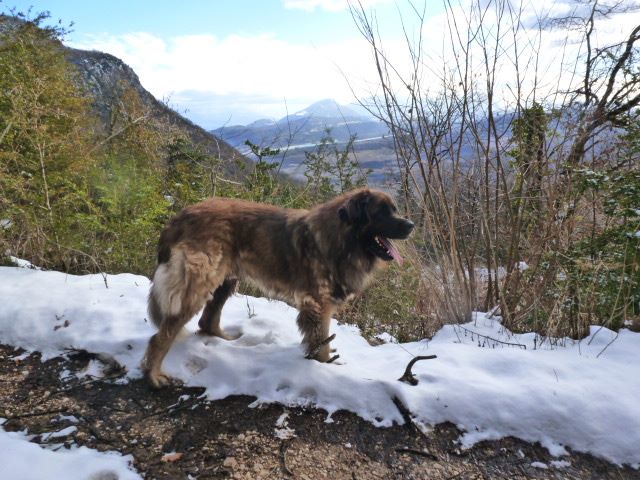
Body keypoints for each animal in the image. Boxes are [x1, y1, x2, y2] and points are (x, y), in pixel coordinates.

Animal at [143, 188, 416, 386]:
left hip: (225, 280)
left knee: (207, 320)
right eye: (381, 212)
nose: (411, 225)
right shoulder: (319, 304)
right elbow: (321, 341)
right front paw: (324, 366)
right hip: (197, 284)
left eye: (394, 209)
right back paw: (154, 376)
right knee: (162, 335)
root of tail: (181, 215)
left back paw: (224, 340)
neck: (342, 240)